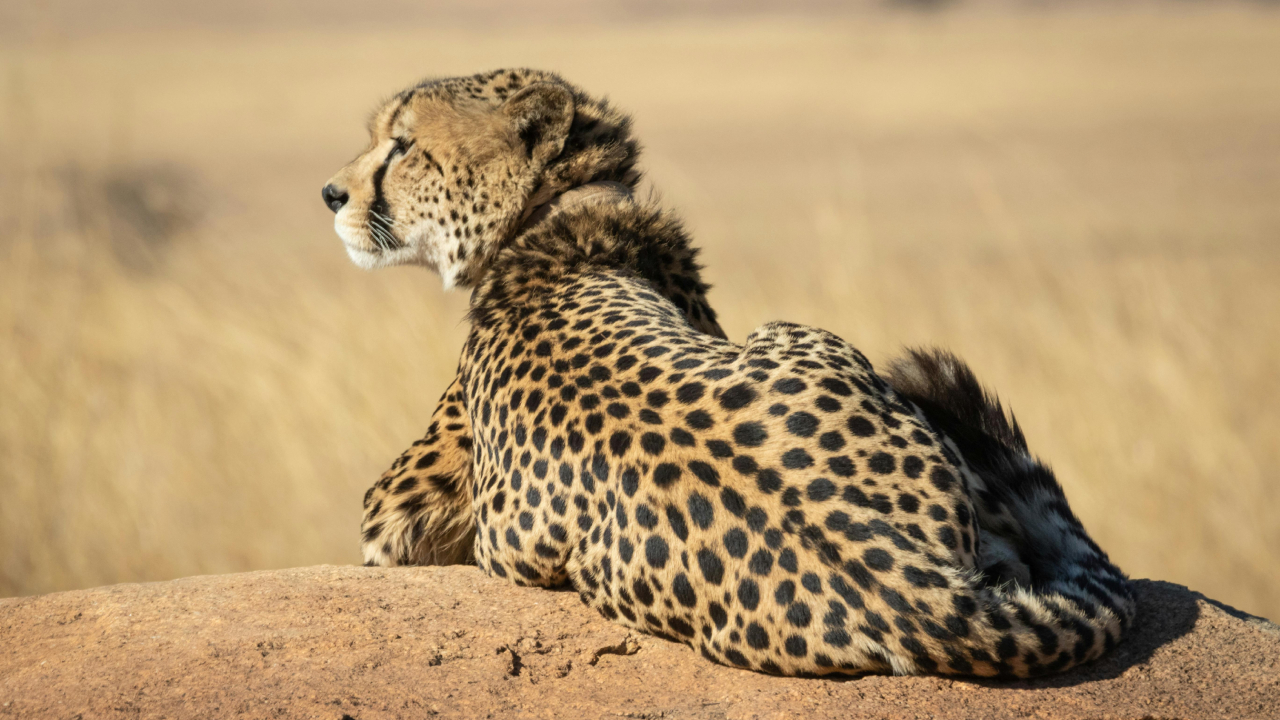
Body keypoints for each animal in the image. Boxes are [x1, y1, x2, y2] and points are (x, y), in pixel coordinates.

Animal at [322, 68, 1136, 677]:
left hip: (798, 331)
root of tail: (912, 592)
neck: (556, 215)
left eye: (402, 147)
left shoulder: (395, 510)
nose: (331, 194)